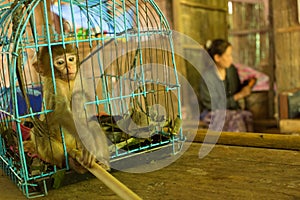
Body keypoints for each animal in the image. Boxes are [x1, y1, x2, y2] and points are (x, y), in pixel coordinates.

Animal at [23, 43, 110, 173]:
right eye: (60, 62)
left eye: (71, 59)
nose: (69, 67)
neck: (67, 82)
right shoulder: (54, 84)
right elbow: (62, 112)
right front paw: (87, 144)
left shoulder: (79, 78)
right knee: (39, 131)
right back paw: (69, 161)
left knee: (93, 124)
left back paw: (101, 162)